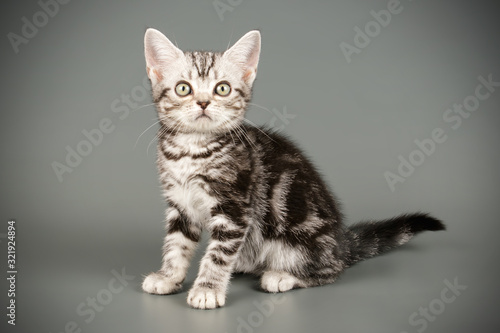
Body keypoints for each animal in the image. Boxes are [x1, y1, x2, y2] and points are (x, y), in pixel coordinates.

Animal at [140, 28, 446, 308]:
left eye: (222, 88)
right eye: (183, 88)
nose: (203, 102)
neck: (192, 149)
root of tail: (340, 244)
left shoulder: (235, 208)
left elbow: (218, 253)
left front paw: (207, 289)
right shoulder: (180, 204)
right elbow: (176, 244)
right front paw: (169, 277)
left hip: (297, 243)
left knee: (331, 270)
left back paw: (282, 276)